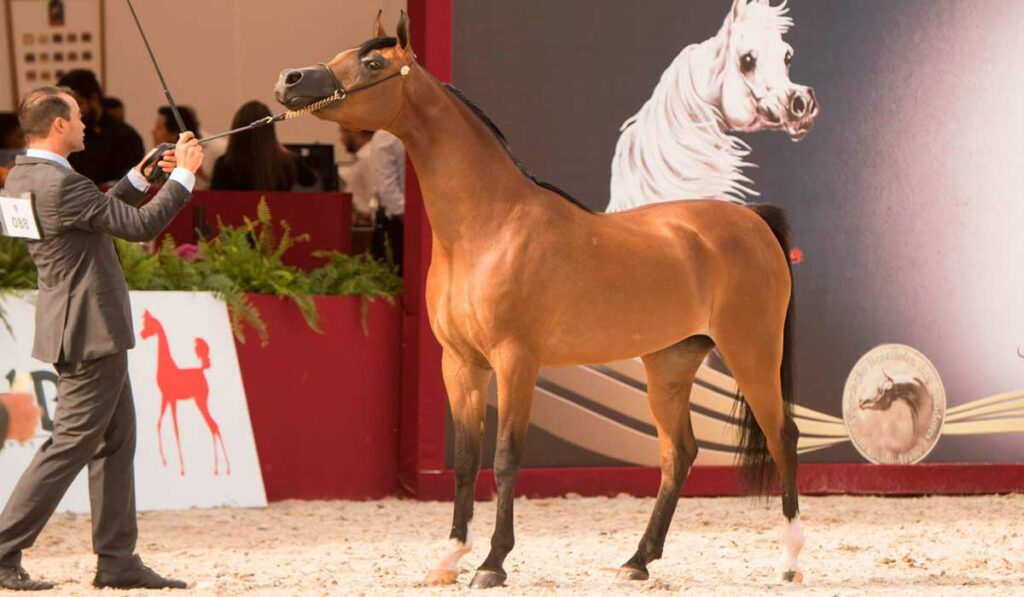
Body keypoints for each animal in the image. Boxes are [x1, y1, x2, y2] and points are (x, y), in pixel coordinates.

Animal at [138, 313, 228, 477]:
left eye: (148, 324)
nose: (141, 334)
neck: (166, 365)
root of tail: (201, 369)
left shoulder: (172, 399)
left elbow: (176, 429)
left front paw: (182, 468)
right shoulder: (165, 397)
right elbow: (159, 423)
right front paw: (164, 460)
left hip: (200, 401)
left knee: (214, 426)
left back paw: (222, 468)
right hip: (199, 402)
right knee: (213, 426)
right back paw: (221, 468)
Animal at [276, 12, 802, 589]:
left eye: (372, 63)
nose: (290, 80)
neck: (488, 226)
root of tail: (753, 221)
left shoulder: (516, 361)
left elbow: (507, 458)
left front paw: (492, 563)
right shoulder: (460, 364)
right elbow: (466, 459)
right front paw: (450, 557)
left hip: (752, 353)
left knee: (783, 437)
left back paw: (790, 562)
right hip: (670, 363)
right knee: (678, 454)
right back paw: (638, 560)